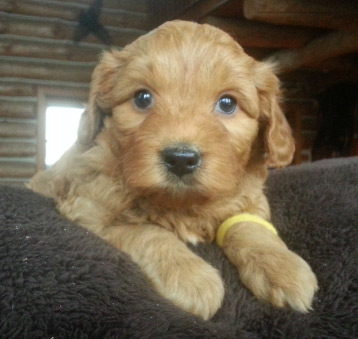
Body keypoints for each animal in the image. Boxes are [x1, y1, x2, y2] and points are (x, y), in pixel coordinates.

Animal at [29, 19, 318, 320]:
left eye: (227, 103)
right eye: (142, 98)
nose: (181, 158)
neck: (182, 203)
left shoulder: (250, 199)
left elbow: (250, 227)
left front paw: (283, 268)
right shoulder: (88, 210)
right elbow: (146, 231)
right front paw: (190, 277)